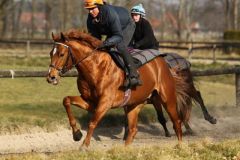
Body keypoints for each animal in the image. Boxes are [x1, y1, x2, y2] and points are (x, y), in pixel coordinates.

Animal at [47, 29, 189, 147]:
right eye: (50, 53)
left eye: (61, 54)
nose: (51, 77)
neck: (95, 68)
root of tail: (163, 62)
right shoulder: (90, 102)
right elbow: (66, 100)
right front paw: (76, 134)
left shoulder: (105, 103)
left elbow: (92, 123)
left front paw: (84, 146)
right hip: (135, 104)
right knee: (133, 129)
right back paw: (124, 150)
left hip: (167, 99)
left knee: (177, 122)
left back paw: (180, 146)